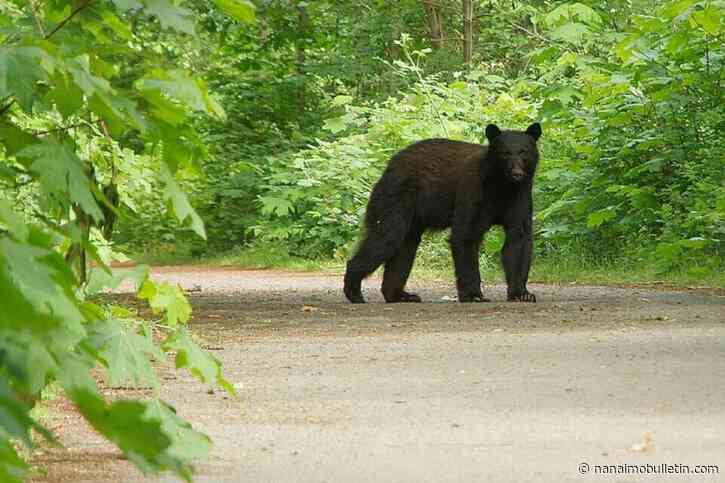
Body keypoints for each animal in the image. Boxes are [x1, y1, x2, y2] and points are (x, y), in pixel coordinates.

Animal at [343, 122, 541, 304]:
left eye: (523, 152)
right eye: (505, 152)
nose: (517, 173)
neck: (502, 187)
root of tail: (388, 168)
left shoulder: (520, 197)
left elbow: (518, 240)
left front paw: (522, 293)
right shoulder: (473, 191)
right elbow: (465, 234)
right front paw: (473, 295)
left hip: (411, 216)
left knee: (404, 248)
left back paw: (400, 295)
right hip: (397, 199)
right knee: (386, 238)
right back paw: (354, 292)